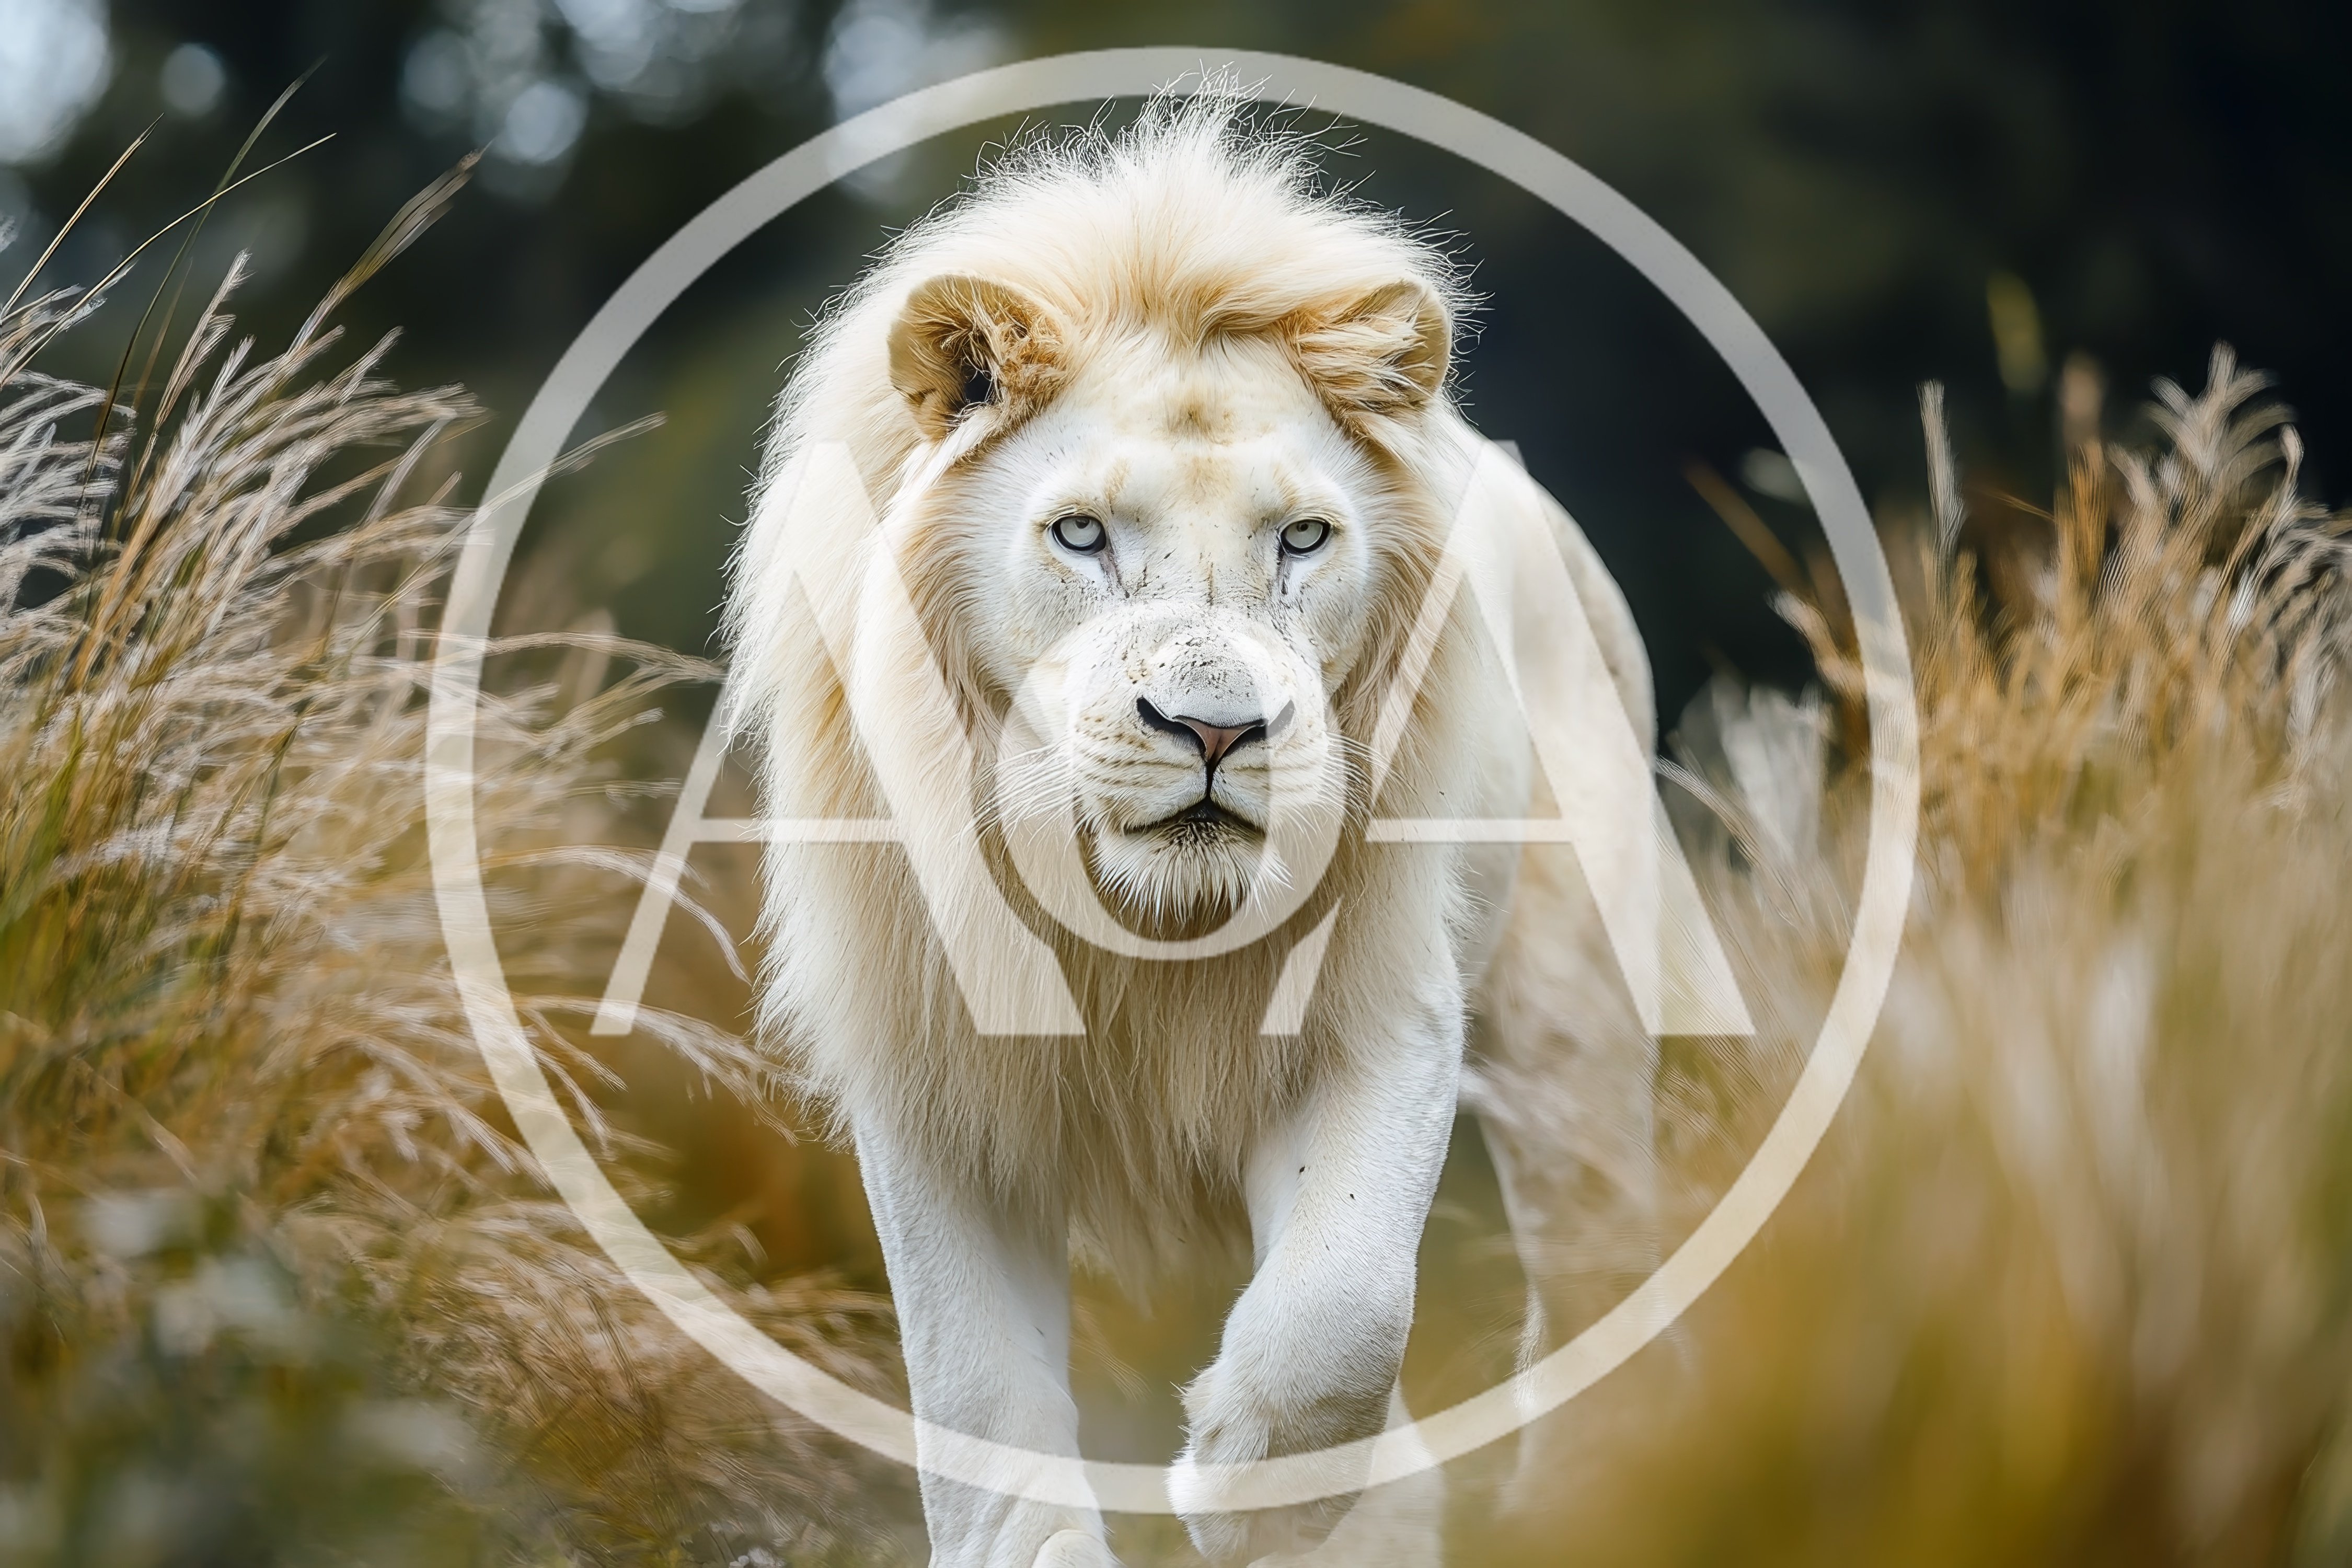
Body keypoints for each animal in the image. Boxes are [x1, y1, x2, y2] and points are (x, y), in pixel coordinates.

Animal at [725, 91, 1662, 1567]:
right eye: (1079, 535)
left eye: (1302, 539)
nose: (1217, 731)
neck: (1132, 928)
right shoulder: (931, 1065)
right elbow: (975, 1393)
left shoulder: (1379, 1010)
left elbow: (1345, 1301)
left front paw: (1243, 1484)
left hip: (1579, 1034)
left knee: (1597, 1280)